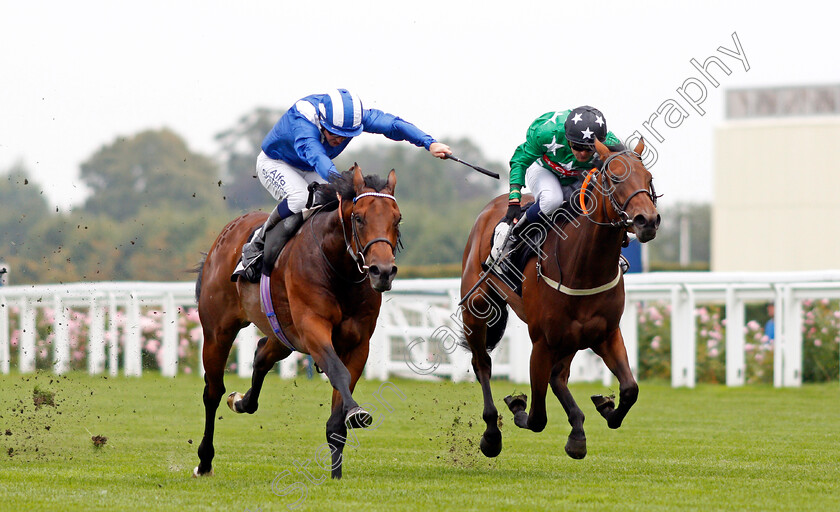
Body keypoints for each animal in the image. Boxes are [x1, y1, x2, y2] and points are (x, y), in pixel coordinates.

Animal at [194, 165, 400, 480]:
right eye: (359, 217)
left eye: (396, 219)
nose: (383, 271)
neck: (337, 267)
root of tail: (225, 235)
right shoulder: (314, 329)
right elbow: (338, 372)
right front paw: (356, 411)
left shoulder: (358, 343)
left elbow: (337, 416)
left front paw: (336, 475)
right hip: (218, 331)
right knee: (213, 392)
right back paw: (204, 461)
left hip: (283, 334)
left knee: (261, 355)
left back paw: (241, 401)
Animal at [460, 139, 664, 460]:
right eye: (614, 178)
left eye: (648, 177)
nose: (648, 220)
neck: (583, 266)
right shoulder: (542, 341)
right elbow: (536, 417)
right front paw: (517, 405)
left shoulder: (606, 333)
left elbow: (630, 389)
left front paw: (605, 409)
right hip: (477, 307)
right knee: (483, 364)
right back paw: (492, 434)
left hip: (571, 337)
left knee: (558, 376)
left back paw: (578, 427)